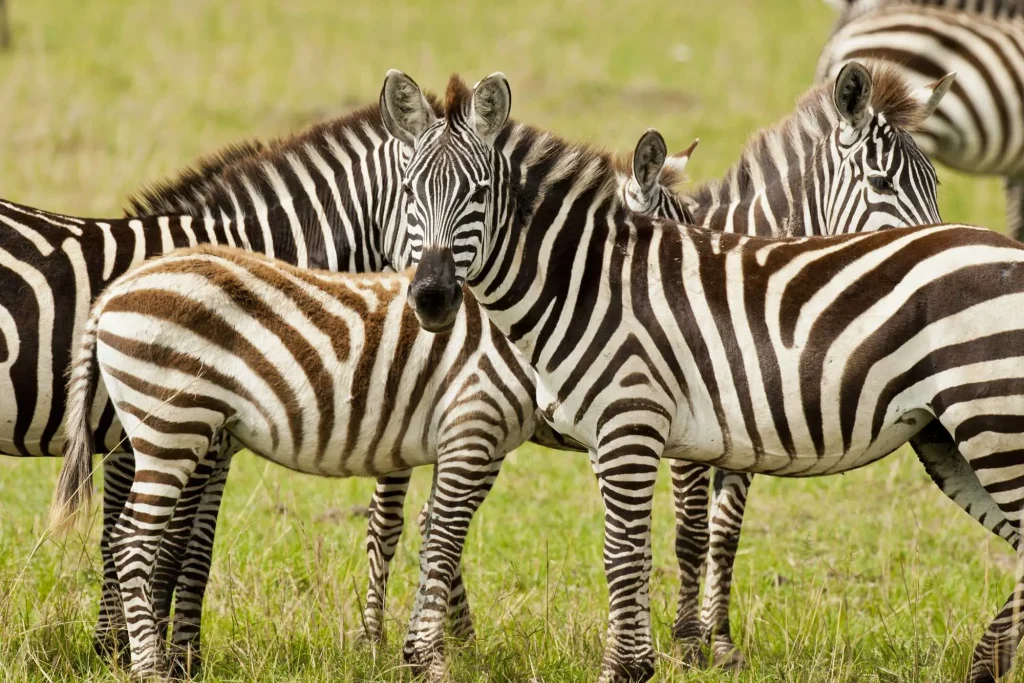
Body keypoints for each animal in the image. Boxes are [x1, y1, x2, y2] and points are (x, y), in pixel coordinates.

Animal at [384, 70, 1024, 683]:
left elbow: (669, 543)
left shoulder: (646, 428)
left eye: (478, 193)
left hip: (989, 423)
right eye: (409, 192)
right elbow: (659, 545)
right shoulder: (653, 435)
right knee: (440, 520)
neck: (588, 281)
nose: (434, 297)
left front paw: (676, 654)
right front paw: (687, 648)